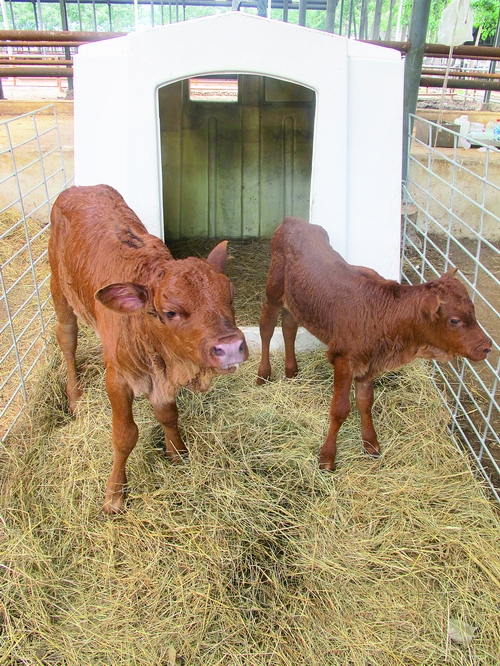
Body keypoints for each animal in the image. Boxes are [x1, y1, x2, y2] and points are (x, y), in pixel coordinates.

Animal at [49, 184, 249, 510]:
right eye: (170, 312)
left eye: (231, 296)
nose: (230, 346)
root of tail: (81, 188)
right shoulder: (117, 379)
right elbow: (124, 435)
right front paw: (115, 494)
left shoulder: (162, 377)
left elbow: (168, 414)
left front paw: (178, 453)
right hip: (59, 291)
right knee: (67, 339)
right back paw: (75, 397)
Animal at [258, 218, 492, 466]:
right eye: (454, 320)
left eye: (473, 310)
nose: (486, 347)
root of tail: (294, 221)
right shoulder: (344, 358)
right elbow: (340, 409)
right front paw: (327, 457)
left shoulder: (369, 362)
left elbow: (365, 401)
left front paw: (371, 443)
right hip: (273, 288)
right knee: (267, 328)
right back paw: (263, 374)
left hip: (296, 300)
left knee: (289, 326)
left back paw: (291, 370)